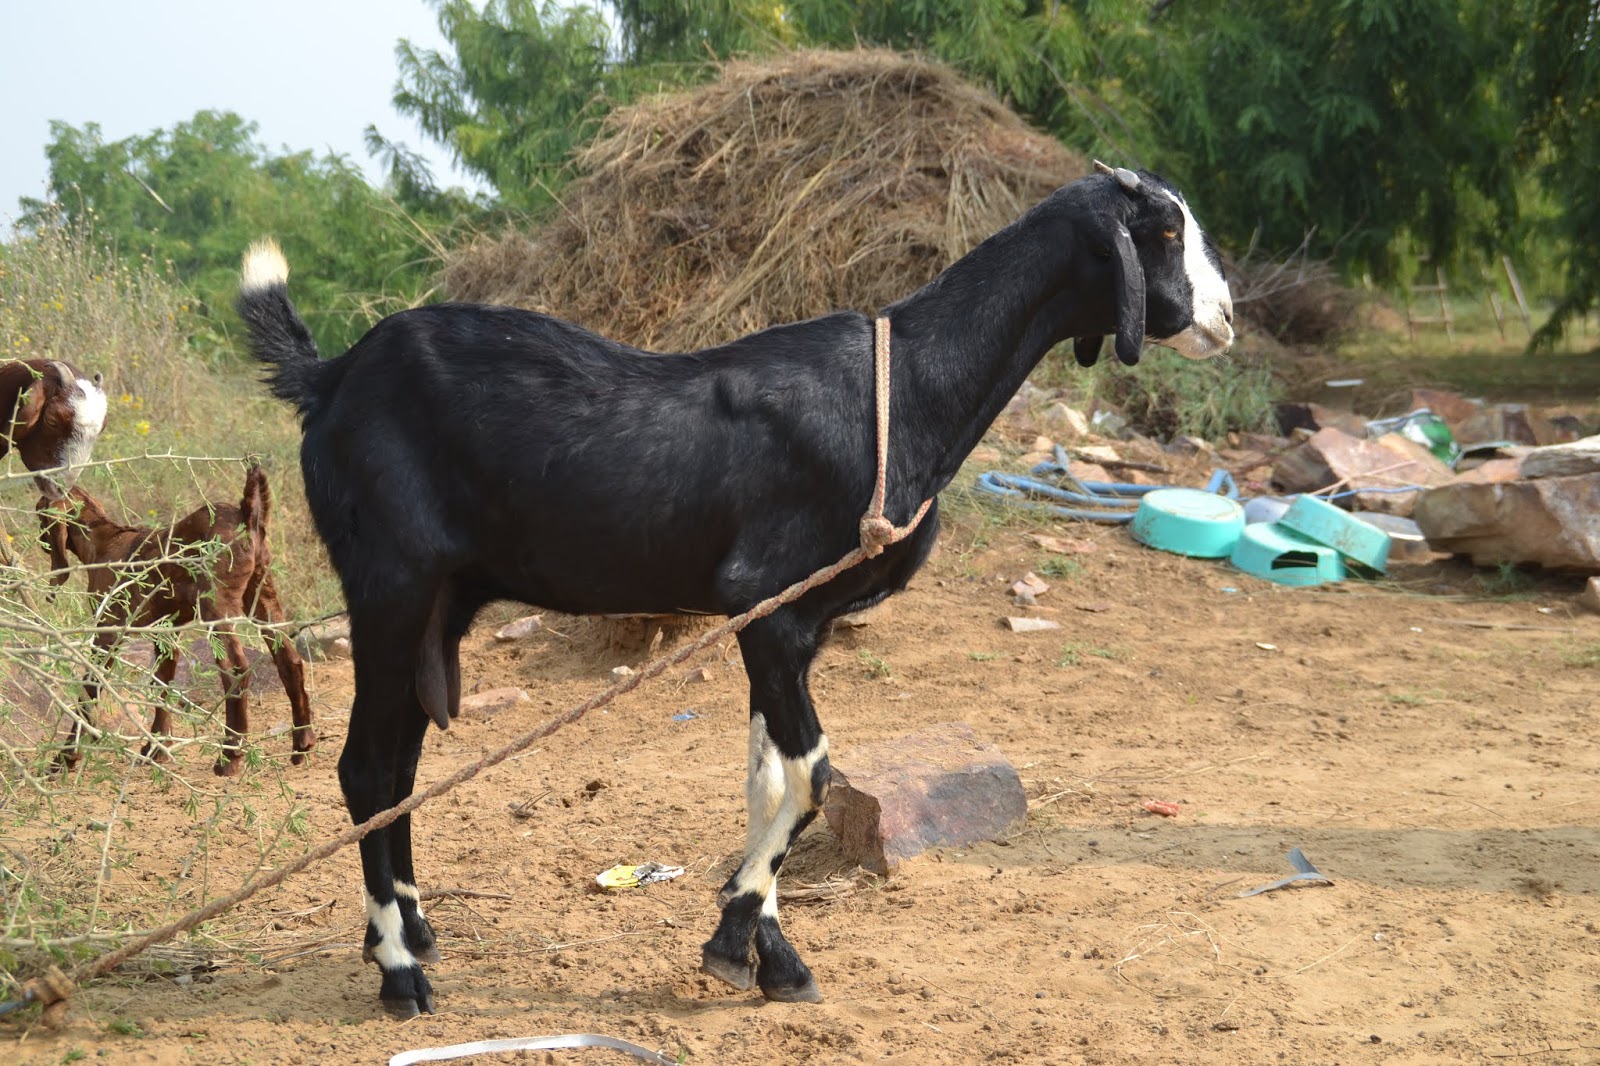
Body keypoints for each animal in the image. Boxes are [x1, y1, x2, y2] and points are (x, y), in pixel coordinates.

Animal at [38, 465, 316, 775]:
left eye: (39, 514)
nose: (39, 541)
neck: (103, 538)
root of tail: (247, 513)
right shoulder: (166, 632)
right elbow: (161, 684)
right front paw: (156, 747)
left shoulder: (108, 630)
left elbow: (90, 686)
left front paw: (65, 756)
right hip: (262, 593)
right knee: (289, 661)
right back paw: (302, 741)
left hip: (216, 605)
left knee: (235, 669)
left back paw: (230, 755)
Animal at [236, 161, 1233, 1017]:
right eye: (1165, 230)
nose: (1226, 316)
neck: (905, 388)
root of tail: (331, 378)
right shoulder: (772, 603)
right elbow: (813, 775)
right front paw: (730, 944)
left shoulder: (789, 626)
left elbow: (767, 780)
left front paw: (773, 956)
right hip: (391, 583)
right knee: (365, 768)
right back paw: (399, 971)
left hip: (436, 602)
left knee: (399, 770)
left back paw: (413, 931)